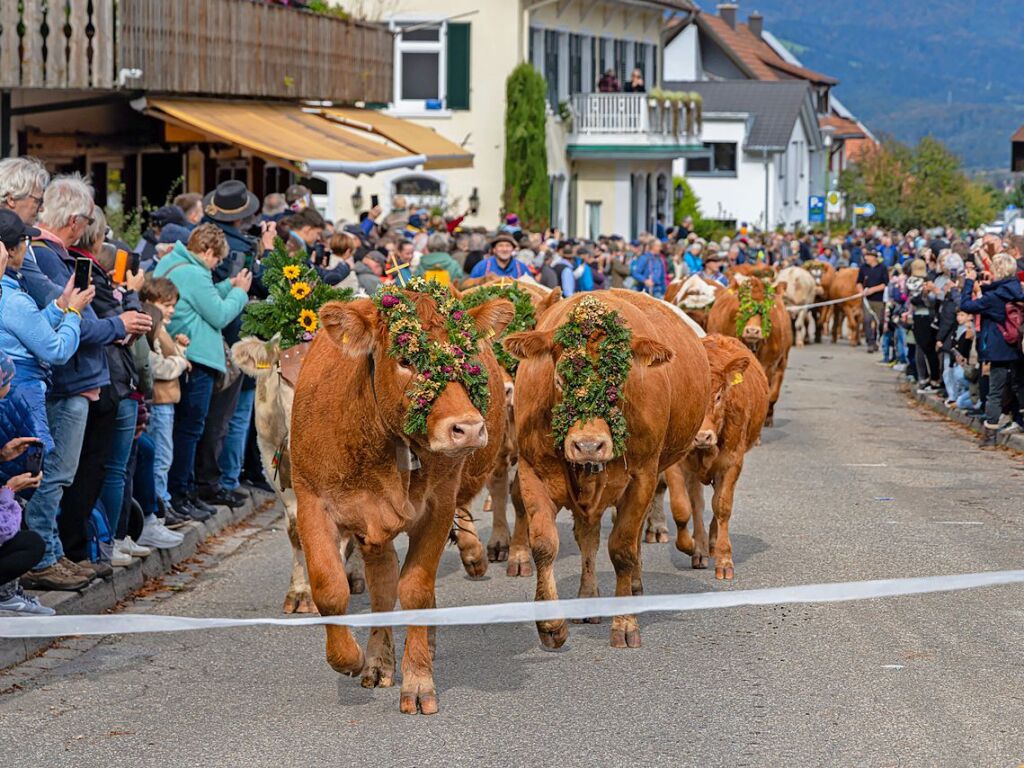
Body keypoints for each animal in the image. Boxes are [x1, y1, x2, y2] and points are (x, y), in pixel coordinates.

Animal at [288, 284, 512, 716]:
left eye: (464, 357)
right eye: (407, 359)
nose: (468, 428)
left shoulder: (437, 507)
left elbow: (416, 589)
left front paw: (419, 680)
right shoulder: (312, 501)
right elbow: (330, 587)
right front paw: (352, 658)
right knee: (381, 584)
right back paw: (378, 660)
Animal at [501, 290, 708, 651]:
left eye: (617, 382)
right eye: (560, 378)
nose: (588, 446)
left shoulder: (642, 476)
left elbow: (623, 549)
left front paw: (624, 624)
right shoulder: (532, 471)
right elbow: (544, 545)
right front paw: (550, 625)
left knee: (629, 540)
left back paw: (634, 587)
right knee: (588, 537)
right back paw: (587, 598)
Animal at [663, 333, 770, 581]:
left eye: (719, 396)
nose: (702, 436)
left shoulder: (731, 463)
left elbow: (722, 506)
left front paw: (724, 559)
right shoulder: (676, 465)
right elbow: (682, 507)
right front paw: (691, 546)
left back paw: (711, 543)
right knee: (697, 503)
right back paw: (701, 547)